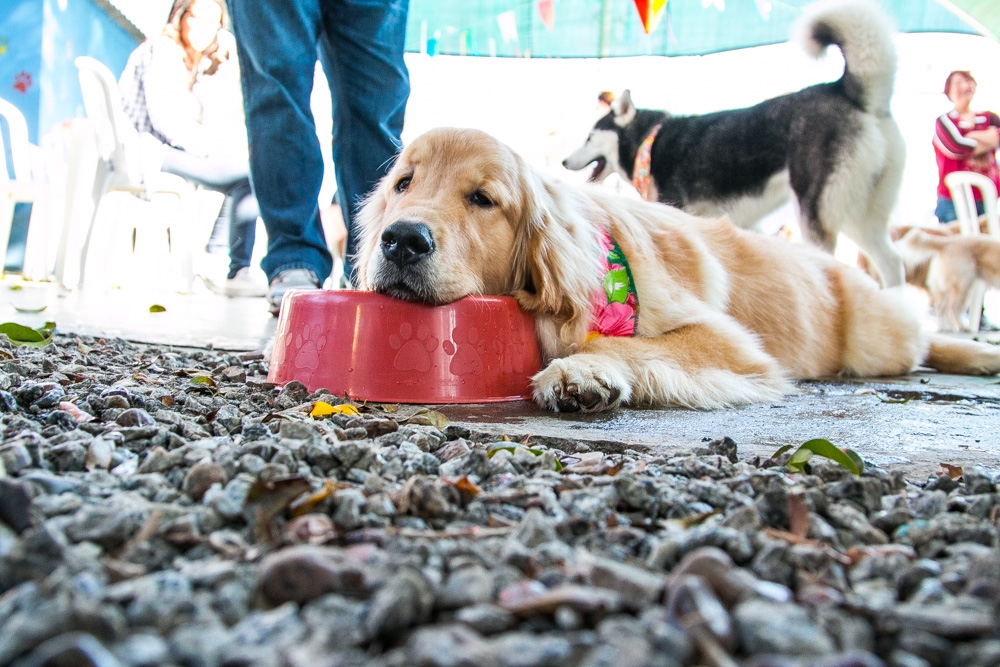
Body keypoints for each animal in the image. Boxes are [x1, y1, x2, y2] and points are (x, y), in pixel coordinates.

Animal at [354, 129, 1000, 412]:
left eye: (483, 199)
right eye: (404, 184)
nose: (402, 241)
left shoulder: (730, 344)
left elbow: (617, 343)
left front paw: (580, 372)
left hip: (874, 338)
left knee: (922, 339)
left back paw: (977, 353)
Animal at [564, 0, 908, 288]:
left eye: (590, 136)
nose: (565, 162)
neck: (650, 142)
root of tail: (847, 91)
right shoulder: (745, 228)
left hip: (815, 211)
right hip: (859, 214)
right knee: (892, 262)